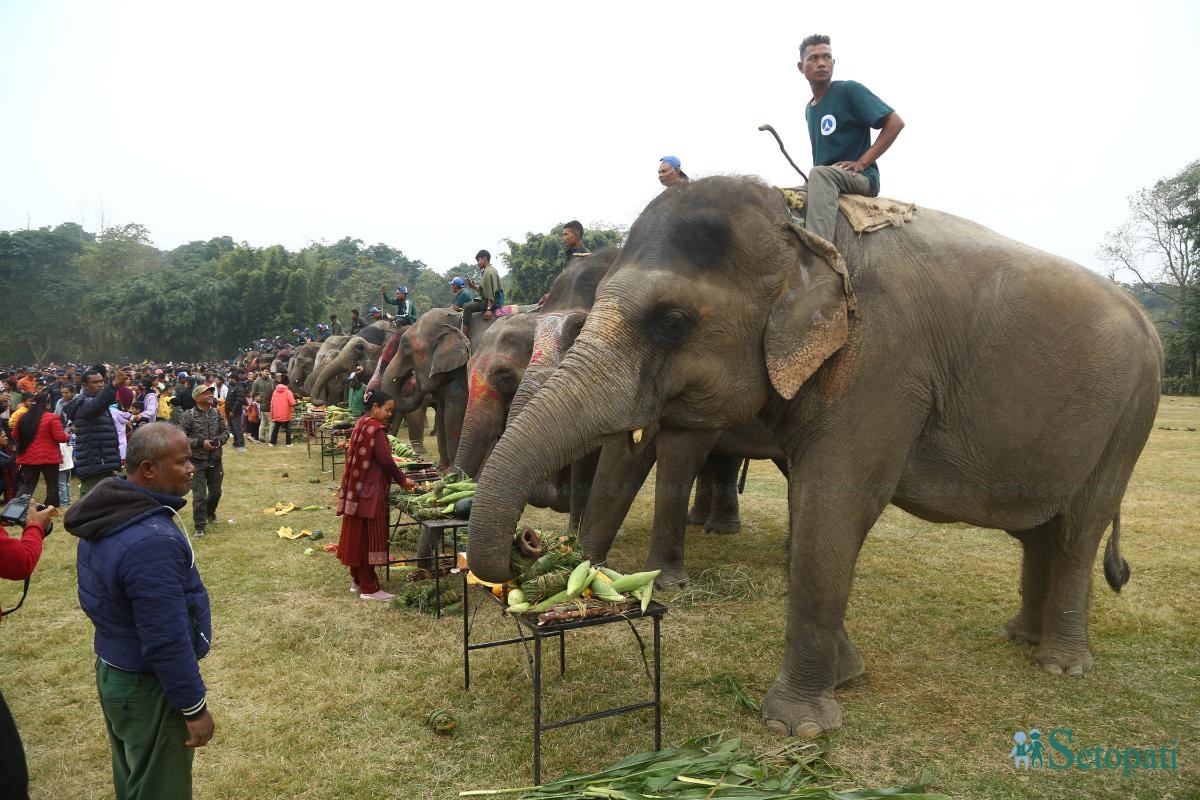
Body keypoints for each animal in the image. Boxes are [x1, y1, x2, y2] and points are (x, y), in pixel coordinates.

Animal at [468, 176, 1161, 738]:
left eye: (673, 321)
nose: (531, 547)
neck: (800, 230)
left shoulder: (882, 363)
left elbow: (834, 500)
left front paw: (796, 725)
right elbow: (813, 506)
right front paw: (847, 674)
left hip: (1132, 417)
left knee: (1077, 529)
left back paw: (1062, 665)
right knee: (1040, 529)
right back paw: (1022, 637)